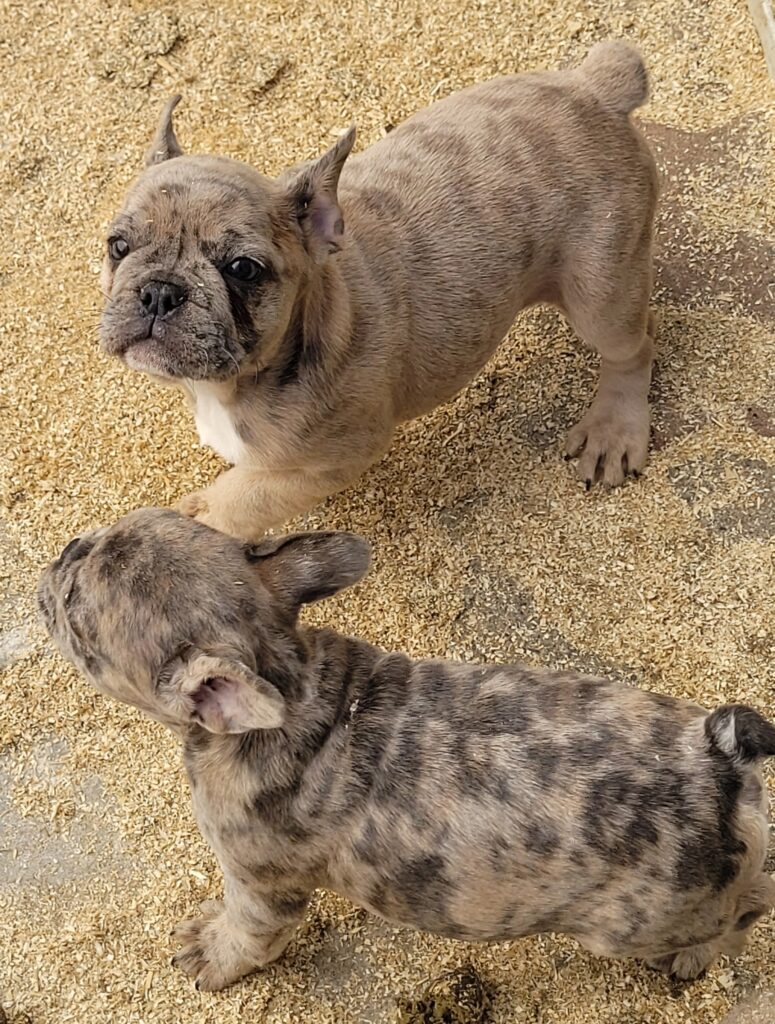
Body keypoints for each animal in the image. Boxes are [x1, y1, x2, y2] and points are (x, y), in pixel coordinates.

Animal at [37, 512, 773, 991]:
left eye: (75, 612)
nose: (65, 548)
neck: (289, 677)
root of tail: (717, 760)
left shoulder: (258, 884)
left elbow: (247, 933)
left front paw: (213, 955)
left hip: (636, 922)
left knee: (741, 914)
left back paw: (694, 959)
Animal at [99, 41, 659, 544]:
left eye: (242, 269)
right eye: (117, 245)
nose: (159, 292)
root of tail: (595, 87)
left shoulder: (328, 460)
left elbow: (244, 499)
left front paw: (196, 522)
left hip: (599, 291)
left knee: (632, 348)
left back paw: (613, 428)